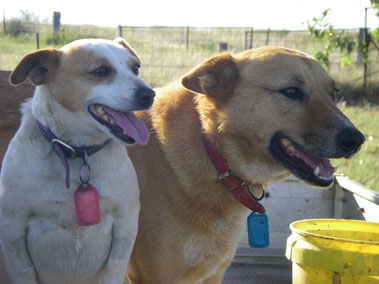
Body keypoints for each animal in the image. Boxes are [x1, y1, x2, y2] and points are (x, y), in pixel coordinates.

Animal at [0, 38, 156, 284]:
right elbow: (23, 270)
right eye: (101, 71)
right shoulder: (13, 233)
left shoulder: (125, 227)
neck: (78, 153)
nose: (149, 94)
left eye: (136, 68)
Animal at [127, 47, 366, 282]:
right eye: (291, 92)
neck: (214, 152)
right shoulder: (160, 274)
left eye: (333, 93)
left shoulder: (212, 273)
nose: (356, 140)